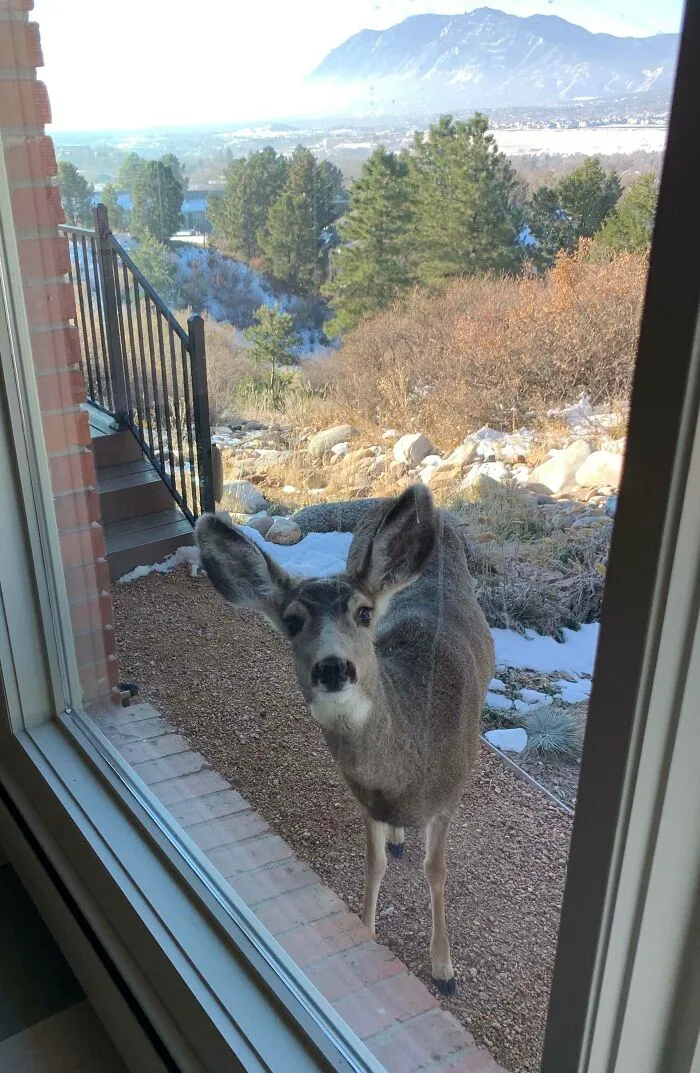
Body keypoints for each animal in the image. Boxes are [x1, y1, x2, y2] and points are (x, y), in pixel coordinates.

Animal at [195, 484, 494, 995]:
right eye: (292, 621)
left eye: (364, 612)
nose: (333, 667)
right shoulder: (366, 800)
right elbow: (373, 864)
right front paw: (367, 933)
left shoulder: (450, 794)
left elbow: (436, 871)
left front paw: (444, 969)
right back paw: (398, 837)